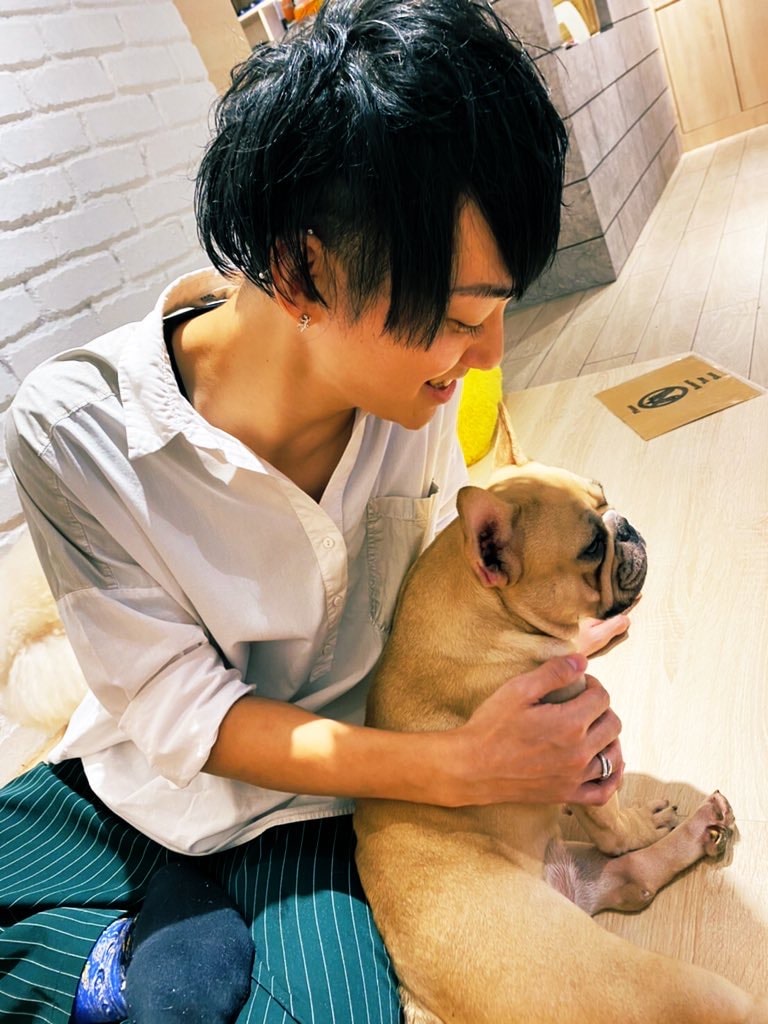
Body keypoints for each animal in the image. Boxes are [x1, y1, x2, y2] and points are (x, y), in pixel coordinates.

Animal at [354, 409, 767, 1024]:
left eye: (605, 495)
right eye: (592, 548)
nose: (624, 525)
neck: (489, 609)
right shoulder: (577, 753)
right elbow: (611, 819)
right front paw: (631, 820)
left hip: (595, 876)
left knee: (637, 875)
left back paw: (699, 825)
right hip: (671, 987)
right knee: (628, 862)